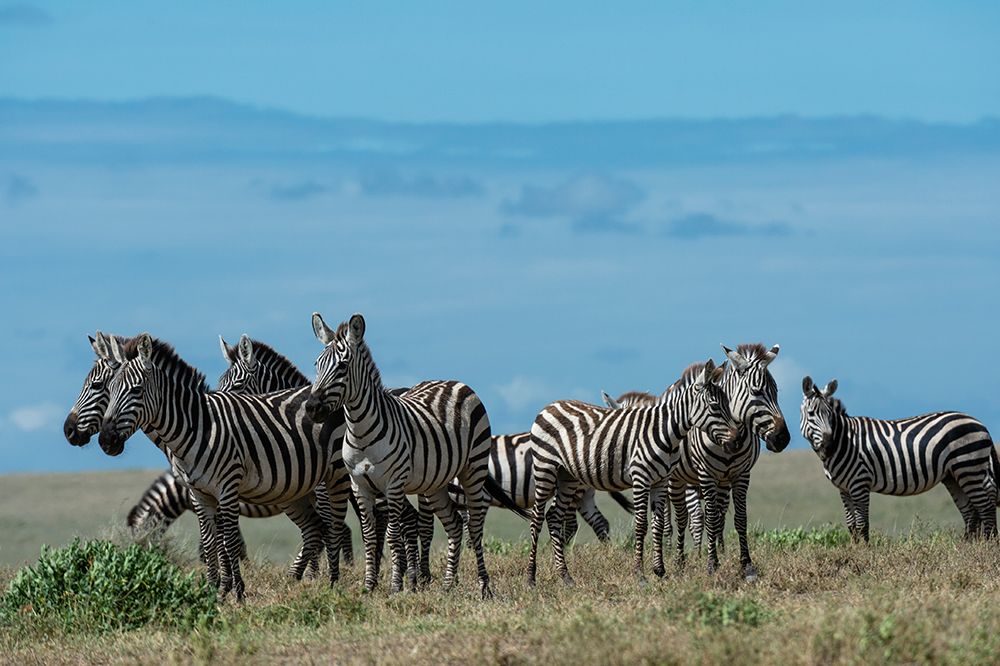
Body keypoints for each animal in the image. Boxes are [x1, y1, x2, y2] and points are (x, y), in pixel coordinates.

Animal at [98, 333, 352, 602]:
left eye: (136, 390)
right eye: (110, 389)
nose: (105, 440)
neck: (195, 429)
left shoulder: (227, 489)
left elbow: (229, 542)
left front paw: (236, 590)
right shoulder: (200, 494)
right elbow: (210, 543)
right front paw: (213, 590)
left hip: (331, 479)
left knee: (334, 527)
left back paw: (332, 581)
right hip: (294, 492)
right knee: (315, 529)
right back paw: (297, 578)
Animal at [306, 312, 525, 598]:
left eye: (342, 367)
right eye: (317, 365)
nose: (311, 408)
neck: (360, 431)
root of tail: (455, 382)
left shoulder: (393, 484)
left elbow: (392, 535)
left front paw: (395, 587)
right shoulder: (359, 485)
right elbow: (369, 535)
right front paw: (369, 586)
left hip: (473, 469)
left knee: (475, 527)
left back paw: (484, 585)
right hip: (435, 483)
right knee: (455, 524)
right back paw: (447, 586)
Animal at [665, 344, 790, 582]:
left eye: (777, 391)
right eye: (756, 391)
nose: (783, 439)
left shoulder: (742, 475)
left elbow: (739, 518)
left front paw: (746, 565)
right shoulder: (707, 475)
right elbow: (710, 519)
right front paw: (711, 564)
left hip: (721, 483)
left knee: (718, 517)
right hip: (676, 480)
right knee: (682, 518)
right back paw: (679, 561)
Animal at [801, 376, 998, 540]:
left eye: (830, 415)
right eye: (811, 413)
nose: (829, 446)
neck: (845, 440)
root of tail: (981, 424)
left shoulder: (860, 483)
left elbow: (862, 524)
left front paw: (864, 553)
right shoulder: (844, 489)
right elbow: (852, 526)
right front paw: (854, 550)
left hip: (969, 468)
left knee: (986, 508)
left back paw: (985, 546)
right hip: (953, 475)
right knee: (971, 512)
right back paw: (967, 546)